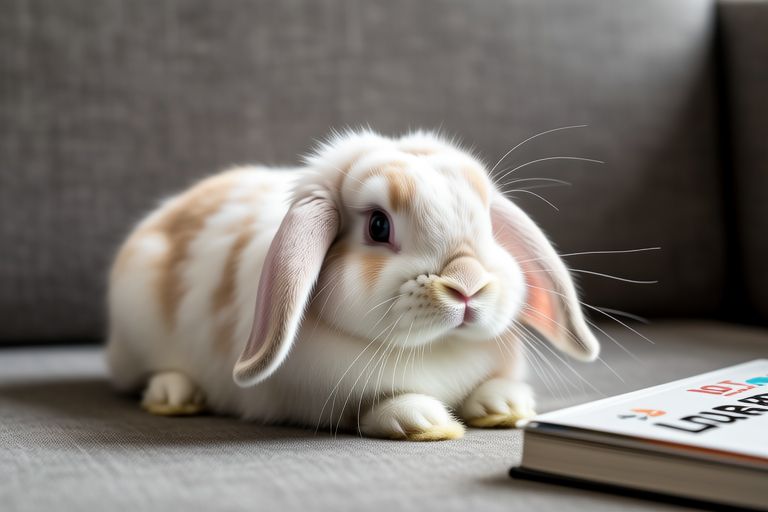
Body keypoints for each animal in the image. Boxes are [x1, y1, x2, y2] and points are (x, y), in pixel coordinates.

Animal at [106, 129, 599, 441]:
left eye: (490, 229)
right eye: (378, 226)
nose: (468, 286)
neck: (434, 349)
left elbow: (494, 388)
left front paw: (505, 407)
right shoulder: (310, 398)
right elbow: (367, 410)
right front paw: (423, 421)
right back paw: (174, 395)